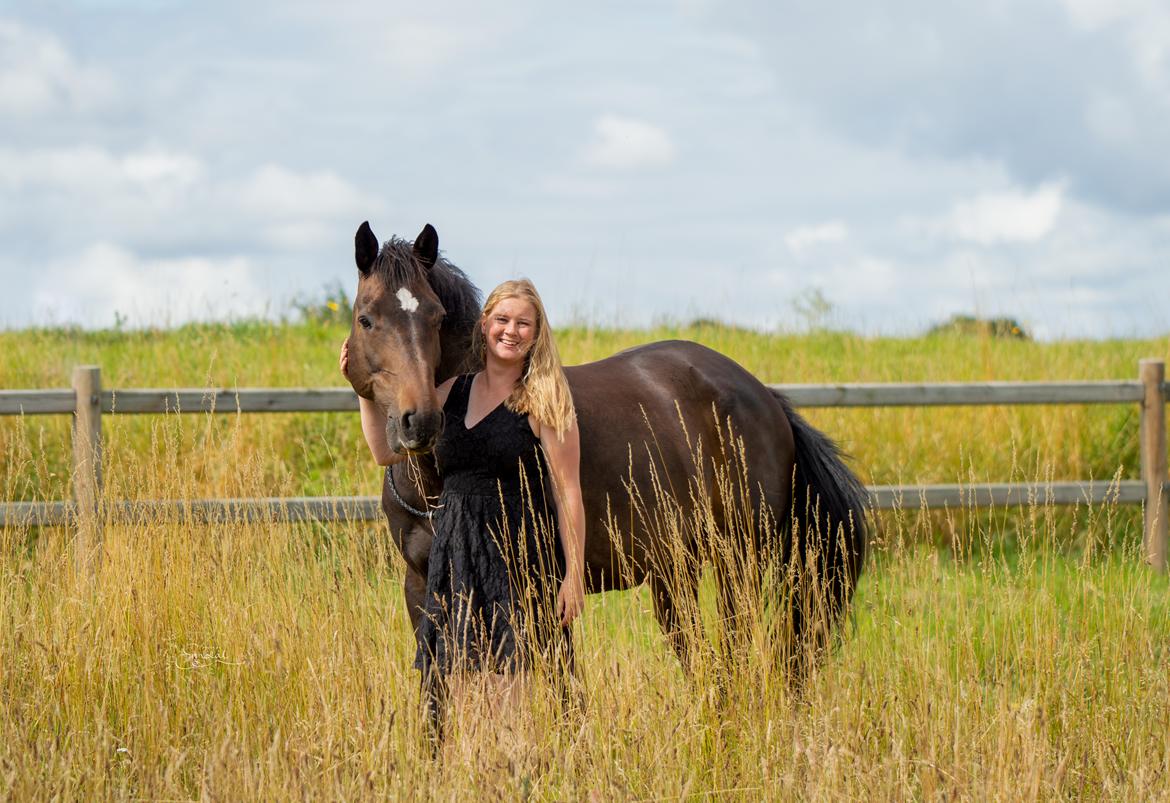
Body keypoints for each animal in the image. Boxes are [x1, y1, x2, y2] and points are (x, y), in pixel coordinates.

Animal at [341, 220, 865, 678]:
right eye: (366, 319)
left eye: (437, 318)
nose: (421, 421)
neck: (435, 484)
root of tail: (764, 397)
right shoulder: (422, 587)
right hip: (675, 572)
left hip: (738, 561)